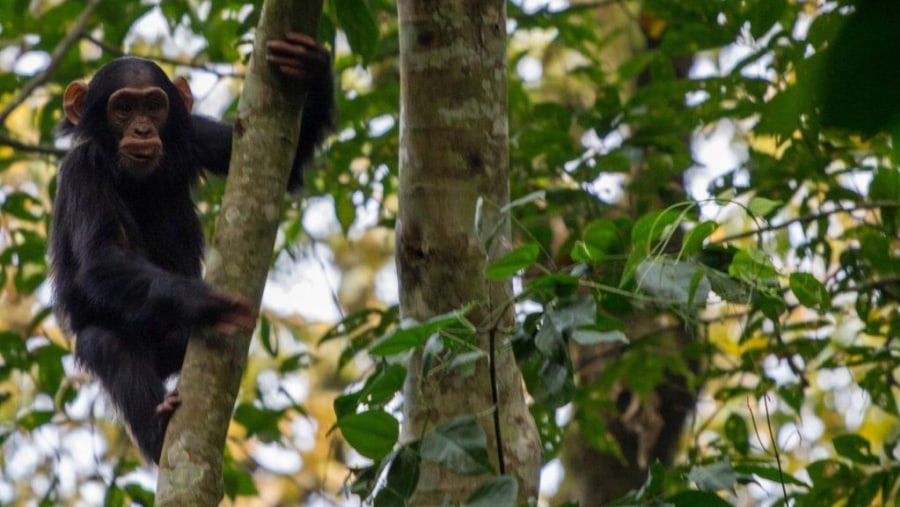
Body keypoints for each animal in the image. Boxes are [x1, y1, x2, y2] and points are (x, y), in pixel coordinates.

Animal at [49, 32, 332, 464]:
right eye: (123, 108)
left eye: (153, 105)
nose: (143, 129)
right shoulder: (82, 173)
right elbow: (102, 257)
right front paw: (210, 302)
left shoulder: (193, 134)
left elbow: (288, 162)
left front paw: (310, 64)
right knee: (107, 343)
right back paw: (158, 428)